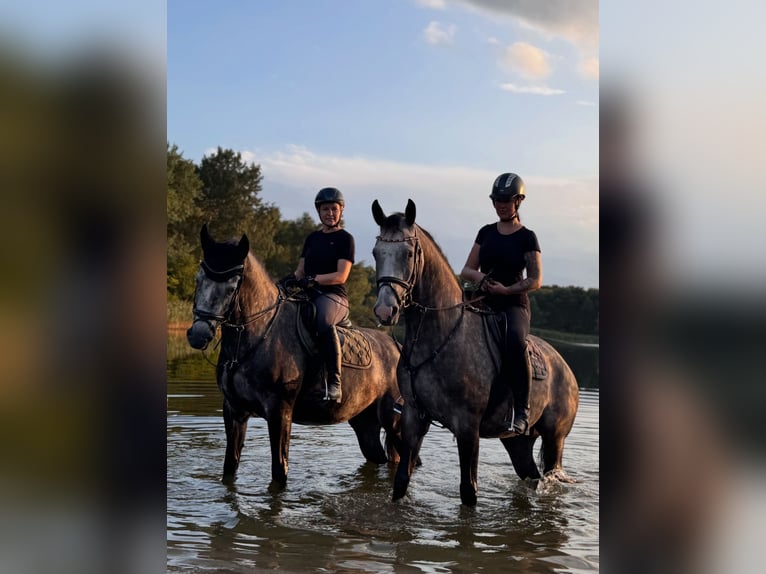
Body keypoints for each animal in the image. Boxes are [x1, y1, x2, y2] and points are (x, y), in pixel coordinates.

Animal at [186, 224, 404, 487]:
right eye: (198, 279)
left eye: (231, 287)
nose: (198, 335)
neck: (258, 334)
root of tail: (395, 346)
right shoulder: (234, 410)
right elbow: (230, 466)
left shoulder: (280, 412)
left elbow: (280, 471)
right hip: (364, 421)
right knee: (379, 457)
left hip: (392, 420)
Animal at [371, 199, 579, 506]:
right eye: (376, 252)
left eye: (408, 253)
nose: (386, 310)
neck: (441, 335)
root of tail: (566, 368)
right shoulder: (413, 417)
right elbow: (401, 481)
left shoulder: (468, 427)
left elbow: (469, 490)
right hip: (517, 441)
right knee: (530, 473)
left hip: (556, 439)